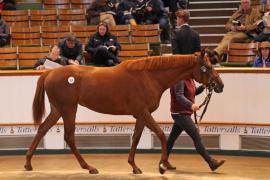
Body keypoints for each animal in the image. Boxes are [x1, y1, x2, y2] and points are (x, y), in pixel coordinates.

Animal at [24, 51, 224, 175]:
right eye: (207, 67)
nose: (220, 85)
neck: (149, 76)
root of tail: (49, 73)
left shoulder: (141, 115)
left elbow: (136, 137)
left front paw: (134, 166)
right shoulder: (144, 112)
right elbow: (161, 134)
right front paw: (162, 166)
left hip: (58, 110)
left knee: (42, 129)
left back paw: (28, 163)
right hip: (68, 109)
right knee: (69, 136)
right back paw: (89, 167)